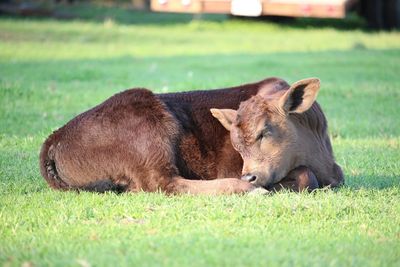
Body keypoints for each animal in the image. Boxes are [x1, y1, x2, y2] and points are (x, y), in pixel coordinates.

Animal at [39, 77, 342, 195]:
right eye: (235, 144)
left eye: (264, 132)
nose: (249, 176)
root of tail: (54, 138)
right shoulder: (228, 167)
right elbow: (305, 176)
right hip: (150, 134)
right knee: (164, 183)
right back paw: (249, 191)